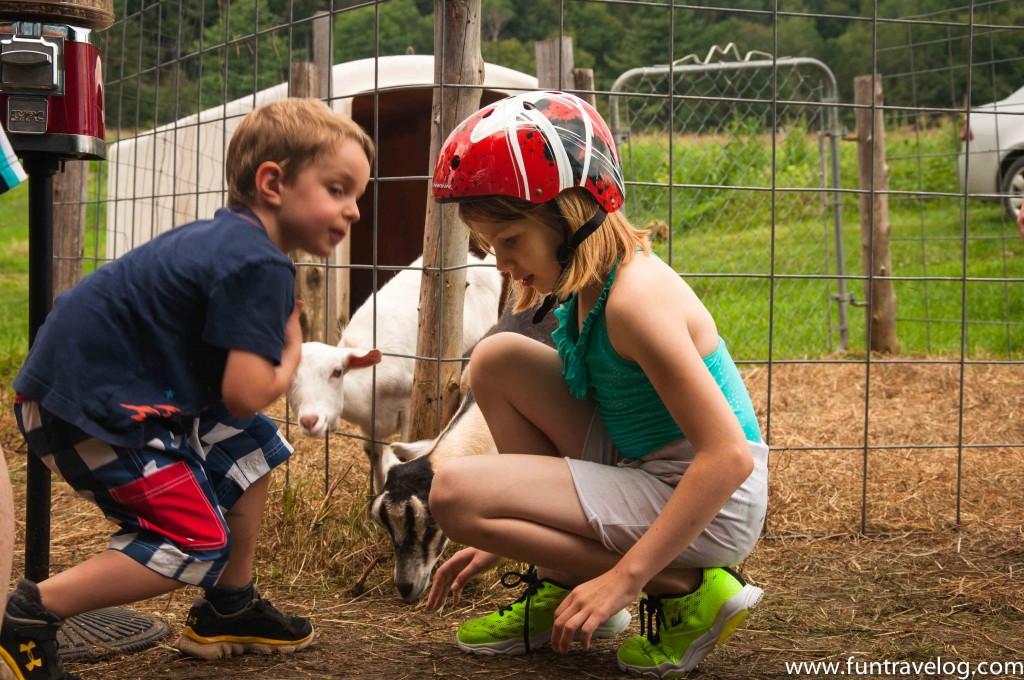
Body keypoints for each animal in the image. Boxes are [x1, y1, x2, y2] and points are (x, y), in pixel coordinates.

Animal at [290, 253, 501, 493]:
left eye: (337, 372)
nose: (309, 421)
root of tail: (481, 261)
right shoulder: (369, 422)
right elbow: (373, 452)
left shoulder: (408, 403)